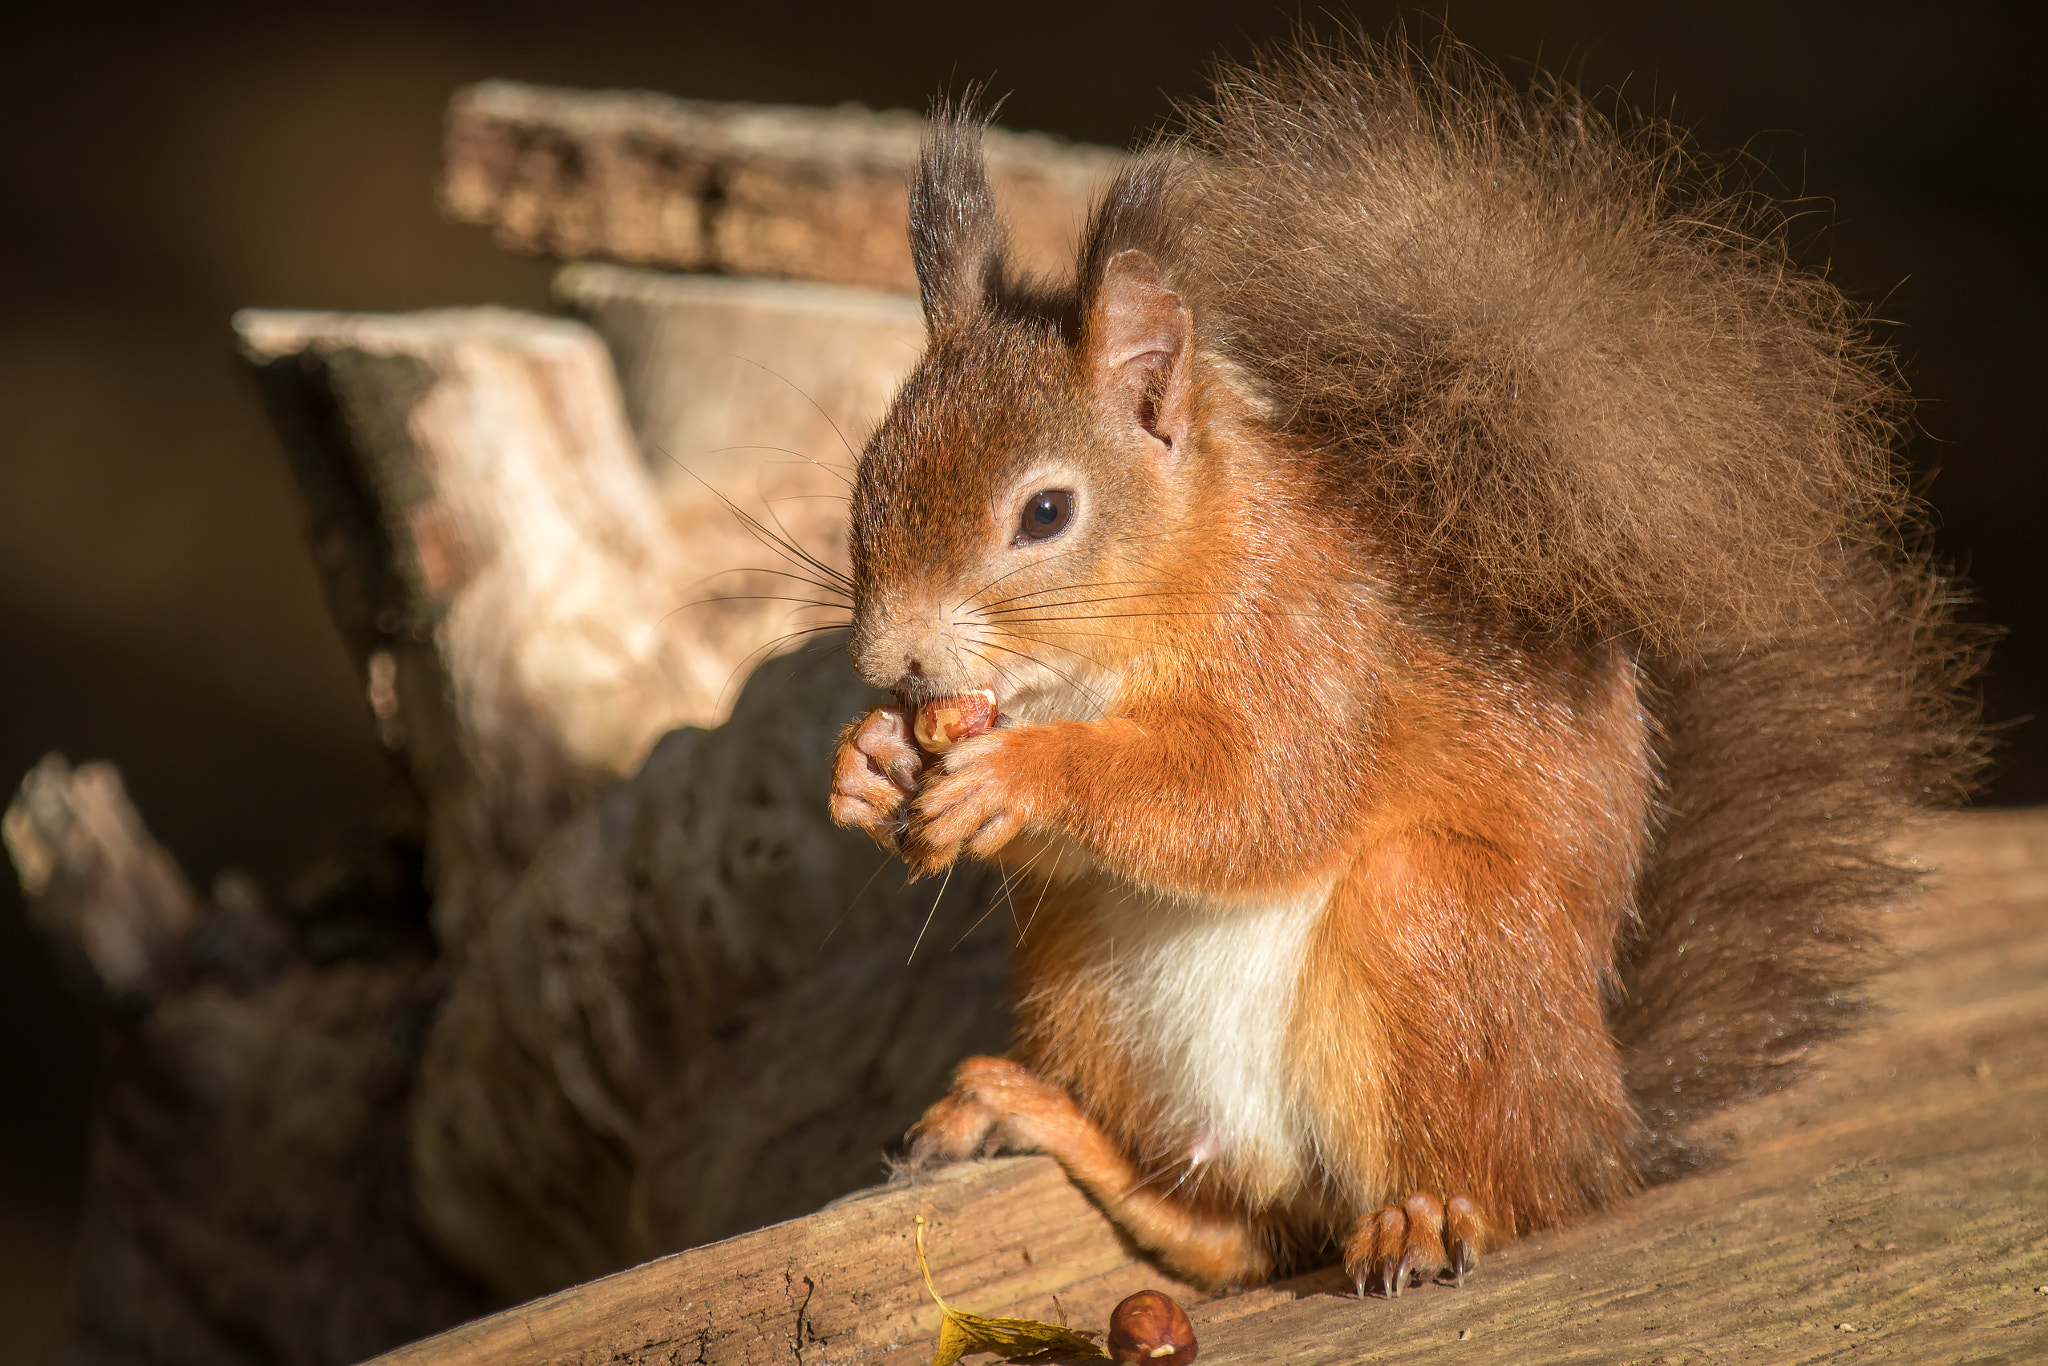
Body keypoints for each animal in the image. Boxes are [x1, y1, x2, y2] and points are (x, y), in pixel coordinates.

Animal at [823, 37, 1974, 1302]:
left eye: (1043, 513)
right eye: (869, 473)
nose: (886, 654)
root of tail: (1606, 1122)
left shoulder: (1313, 657)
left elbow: (1248, 800)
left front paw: (1020, 775)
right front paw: (868, 762)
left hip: (1431, 934)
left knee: (1490, 1192)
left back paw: (1427, 1217)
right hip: (1082, 973)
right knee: (1237, 1231)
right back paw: (1032, 1115)